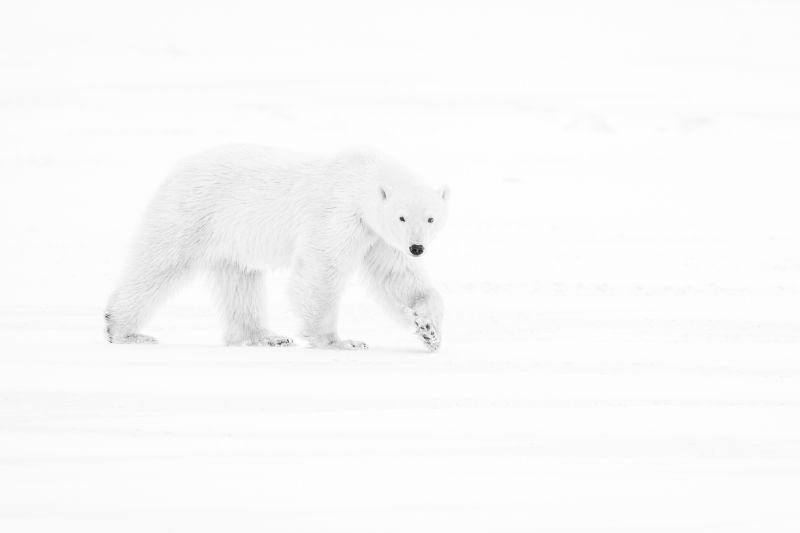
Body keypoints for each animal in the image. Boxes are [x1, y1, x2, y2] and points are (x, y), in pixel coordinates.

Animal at [105, 144, 450, 351]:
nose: (417, 247)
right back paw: (123, 330)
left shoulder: (376, 235)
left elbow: (396, 275)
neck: (361, 177)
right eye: (402, 216)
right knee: (160, 262)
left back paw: (266, 337)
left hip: (231, 239)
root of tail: (176, 169)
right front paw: (340, 342)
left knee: (241, 282)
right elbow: (321, 268)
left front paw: (428, 329)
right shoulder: (338, 213)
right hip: (192, 213)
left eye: (431, 218)